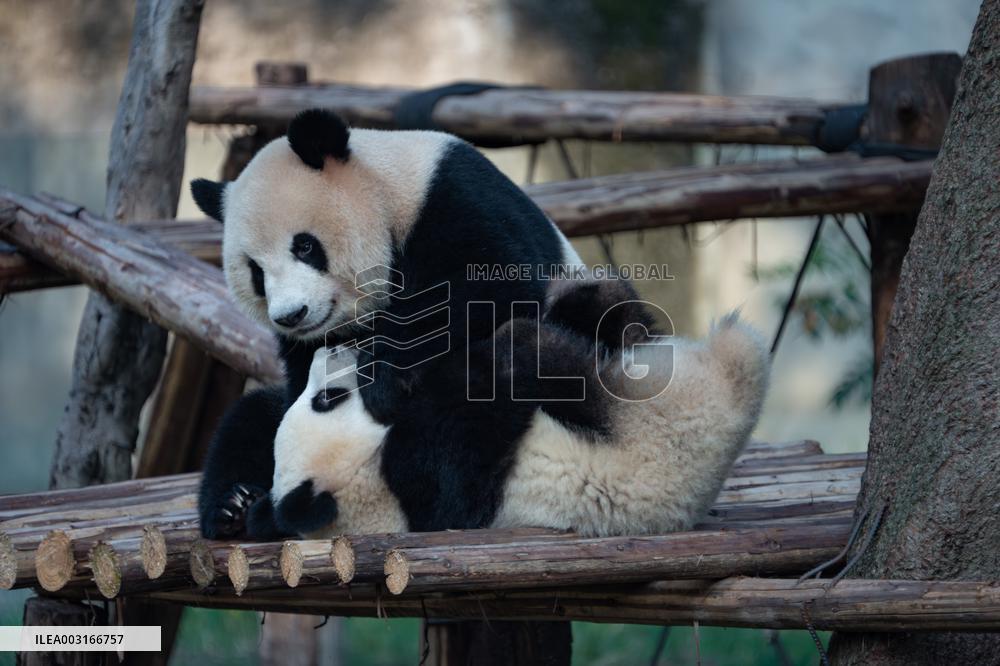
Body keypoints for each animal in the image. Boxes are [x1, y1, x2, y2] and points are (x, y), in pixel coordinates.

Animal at [193, 109, 583, 539]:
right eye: (256, 272)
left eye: (305, 246)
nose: (291, 315)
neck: (388, 192)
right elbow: (295, 392)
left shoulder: (457, 200)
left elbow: (492, 286)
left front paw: (382, 374)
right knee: (250, 419)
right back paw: (234, 505)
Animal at [269, 280, 771, 538]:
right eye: (325, 401)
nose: (327, 352)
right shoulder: (427, 479)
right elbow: (468, 432)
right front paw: (391, 383)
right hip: (649, 423)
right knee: (533, 348)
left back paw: (602, 302)